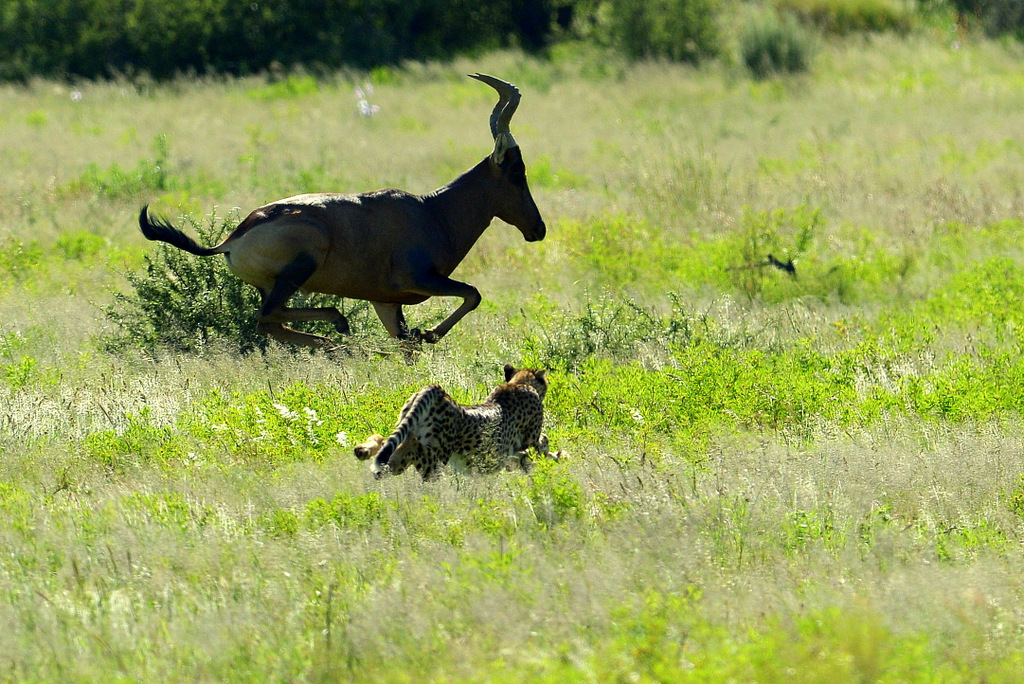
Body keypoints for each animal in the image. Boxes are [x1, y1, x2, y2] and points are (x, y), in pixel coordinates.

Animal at [142, 72, 552, 350]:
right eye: (517, 172)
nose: (538, 229)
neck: (431, 210)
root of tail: (232, 238)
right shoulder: (416, 279)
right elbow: (473, 294)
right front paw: (431, 332)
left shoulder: (385, 301)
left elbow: (407, 345)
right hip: (302, 264)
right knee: (268, 317)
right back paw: (338, 328)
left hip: (273, 286)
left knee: (271, 324)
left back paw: (336, 343)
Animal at [356, 362, 557, 481]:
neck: (520, 383)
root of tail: (439, 391)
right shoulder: (528, 444)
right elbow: (541, 448)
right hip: (436, 459)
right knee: (411, 457)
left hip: (408, 430)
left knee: (389, 449)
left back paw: (363, 450)